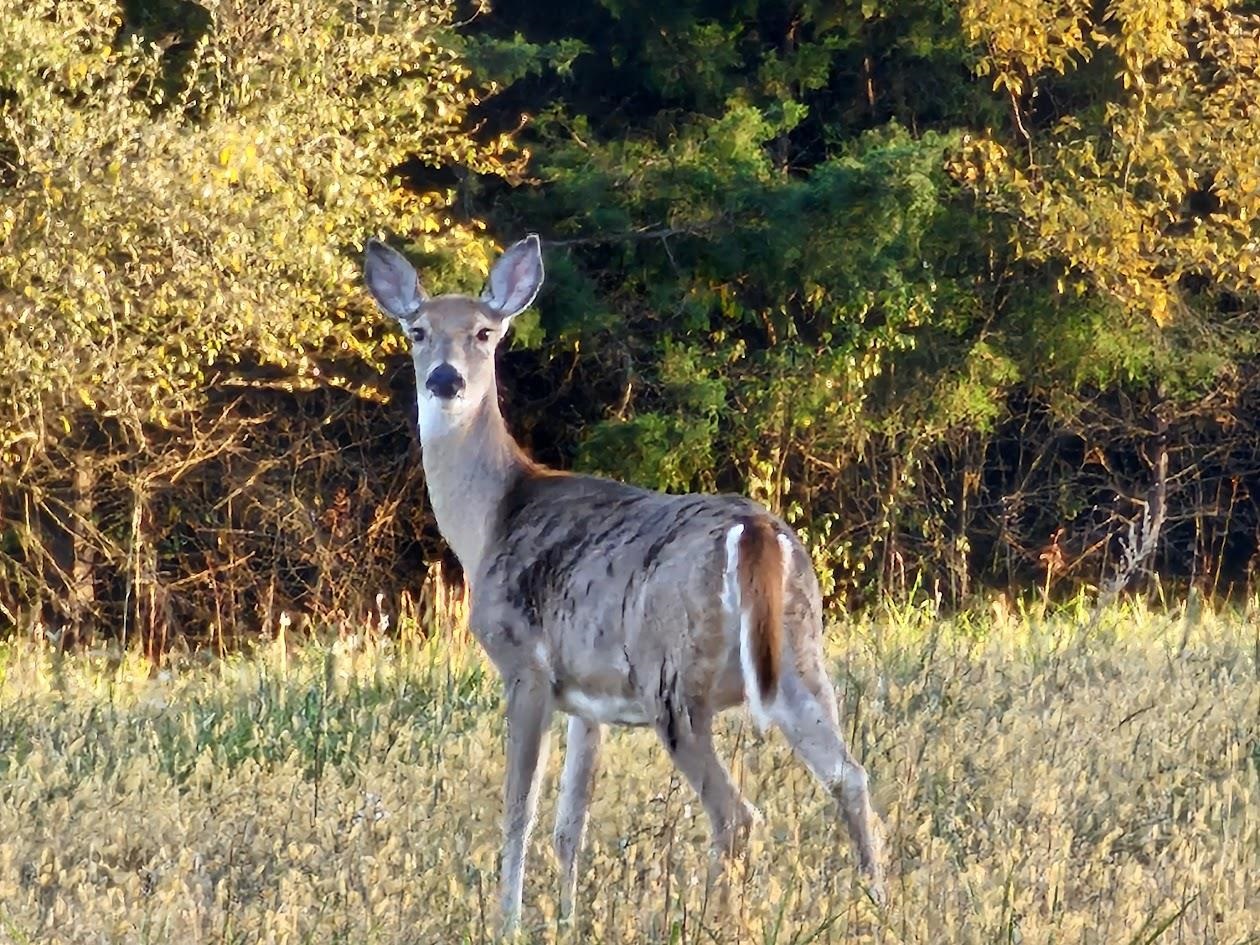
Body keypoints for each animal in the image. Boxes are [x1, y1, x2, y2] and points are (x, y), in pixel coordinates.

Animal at [362, 235, 887, 932]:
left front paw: (509, 922)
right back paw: (879, 907)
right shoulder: (589, 701)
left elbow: (518, 812)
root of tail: (752, 531)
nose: (445, 379)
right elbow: (570, 826)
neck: (492, 518)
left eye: (484, 332)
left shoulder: (524, 664)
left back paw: (717, 922)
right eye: (417, 331)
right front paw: (565, 920)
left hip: (673, 679)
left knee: (737, 814)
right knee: (849, 778)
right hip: (802, 656)